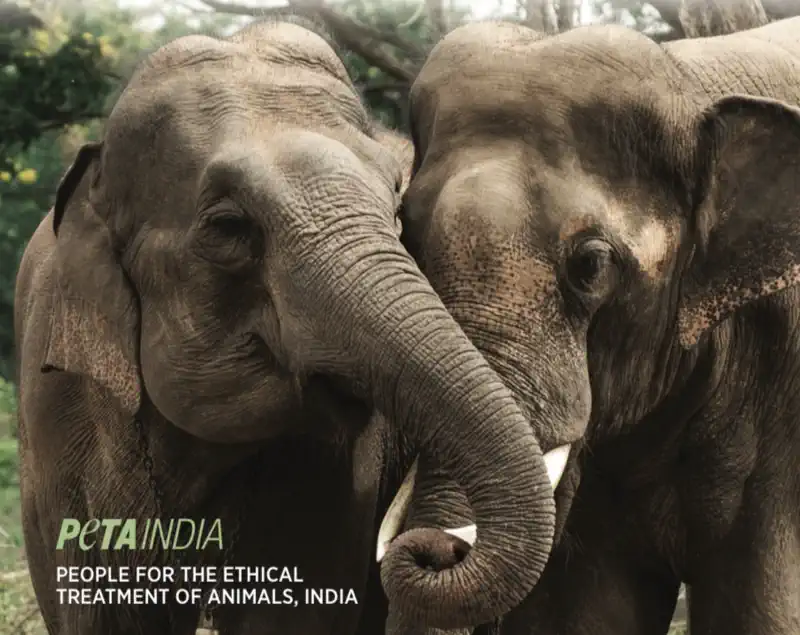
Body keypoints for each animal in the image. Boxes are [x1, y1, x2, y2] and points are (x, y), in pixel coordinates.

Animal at [381, 17, 800, 635]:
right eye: (405, 236)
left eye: (591, 264)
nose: (437, 548)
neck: (687, 79)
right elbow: (584, 611)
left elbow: (759, 606)